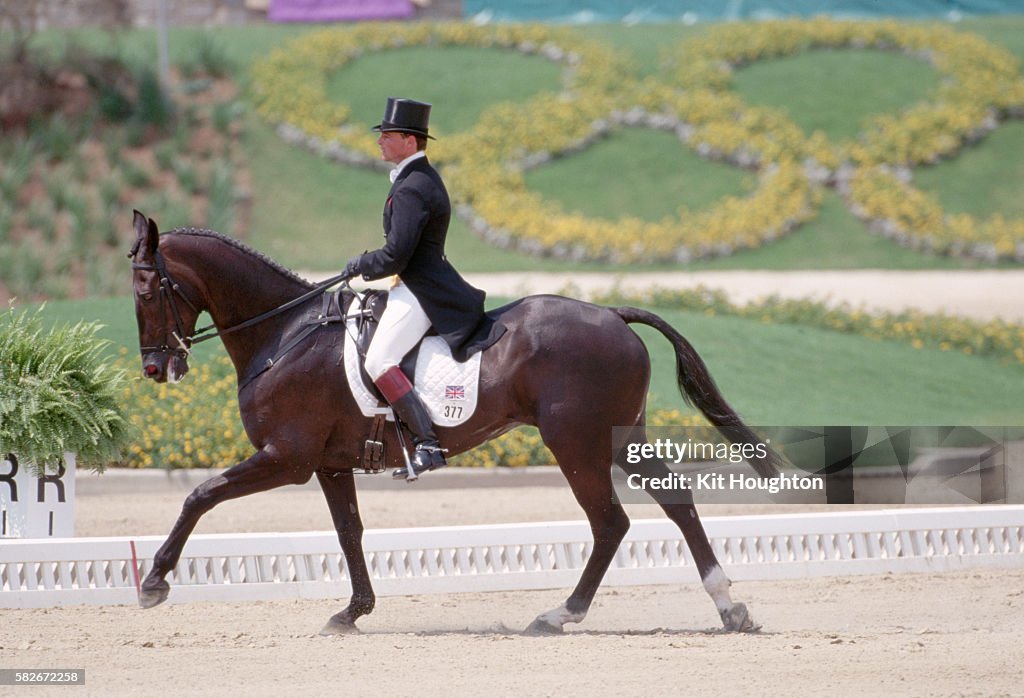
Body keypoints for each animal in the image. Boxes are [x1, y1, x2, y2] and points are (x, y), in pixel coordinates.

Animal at [130, 209, 782, 634]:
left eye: (145, 288)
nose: (156, 369)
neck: (285, 333)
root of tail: (610, 312)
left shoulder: (286, 458)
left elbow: (201, 494)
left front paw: (154, 582)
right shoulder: (329, 464)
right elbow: (349, 532)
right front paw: (353, 611)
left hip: (577, 443)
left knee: (610, 522)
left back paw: (559, 615)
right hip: (620, 440)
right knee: (674, 503)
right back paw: (729, 609)